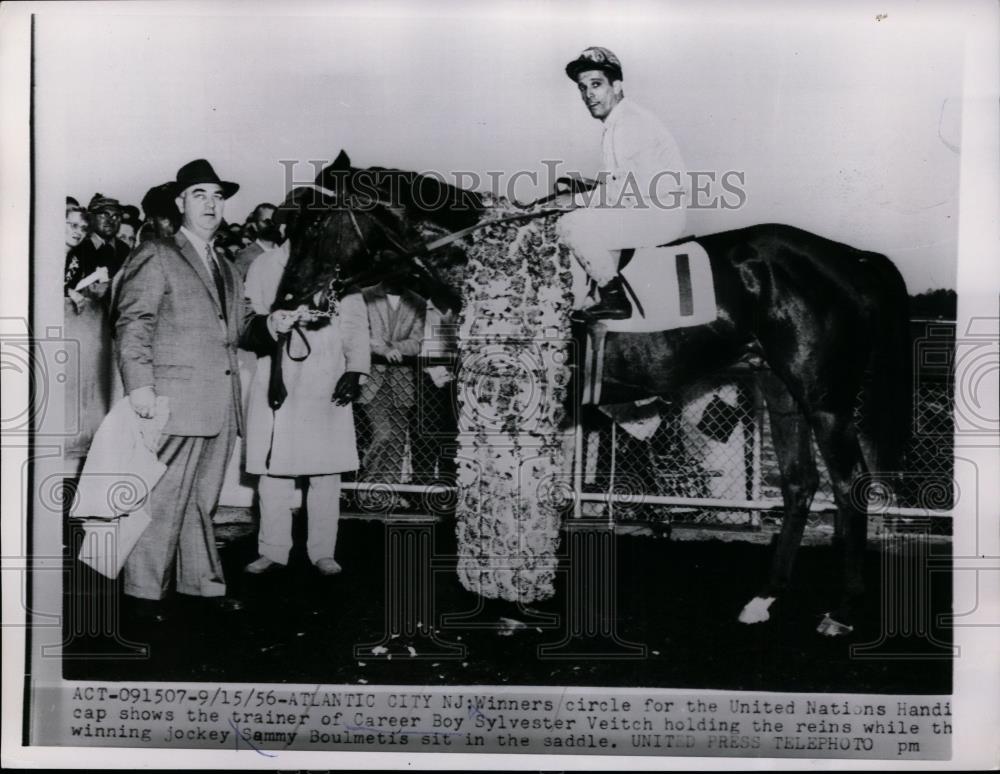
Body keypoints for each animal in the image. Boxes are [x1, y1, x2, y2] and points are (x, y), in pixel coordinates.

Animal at [270, 155, 912, 640]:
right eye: (289, 227)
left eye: (315, 224)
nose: (285, 302)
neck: (482, 259)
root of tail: (852, 257)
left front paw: (512, 596)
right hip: (779, 389)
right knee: (801, 484)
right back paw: (765, 599)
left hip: (824, 397)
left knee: (847, 485)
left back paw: (841, 610)